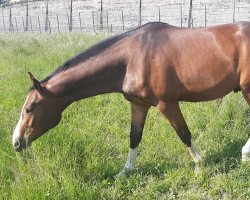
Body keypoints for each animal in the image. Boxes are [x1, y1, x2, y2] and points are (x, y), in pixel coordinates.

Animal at [13, 21, 250, 176]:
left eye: (30, 108)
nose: (16, 142)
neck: (132, 57)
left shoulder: (167, 104)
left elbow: (184, 133)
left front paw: (200, 165)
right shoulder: (139, 104)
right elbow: (134, 136)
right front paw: (125, 171)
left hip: (247, 89)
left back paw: (245, 154)